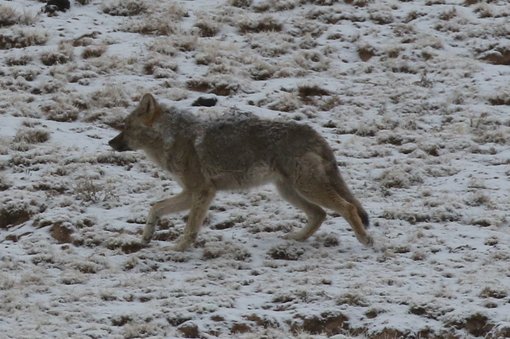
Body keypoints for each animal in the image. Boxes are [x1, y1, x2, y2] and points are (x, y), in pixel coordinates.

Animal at [109, 93, 372, 252]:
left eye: (126, 127)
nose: (110, 143)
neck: (173, 137)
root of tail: (314, 133)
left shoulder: (202, 192)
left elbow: (191, 226)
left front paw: (179, 248)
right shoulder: (190, 193)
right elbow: (156, 207)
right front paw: (147, 235)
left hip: (306, 188)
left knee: (347, 208)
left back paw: (365, 240)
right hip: (290, 192)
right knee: (319, 214)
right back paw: (295, 239)